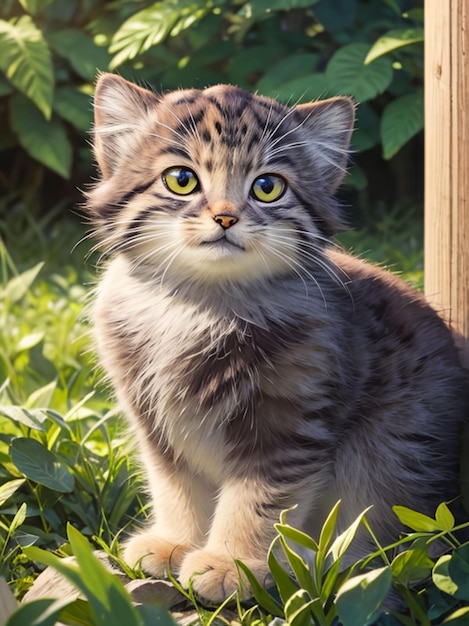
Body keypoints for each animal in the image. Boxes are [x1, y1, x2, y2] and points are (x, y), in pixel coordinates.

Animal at [86, 73, 466, 604]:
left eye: (267, 187)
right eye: (181, 180)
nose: (225, 217)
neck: (201, 306)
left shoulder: (287, 424)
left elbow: (257, 503)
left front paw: (233, 564)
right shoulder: (157, 427)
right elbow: (176, 488)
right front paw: (176, 541)